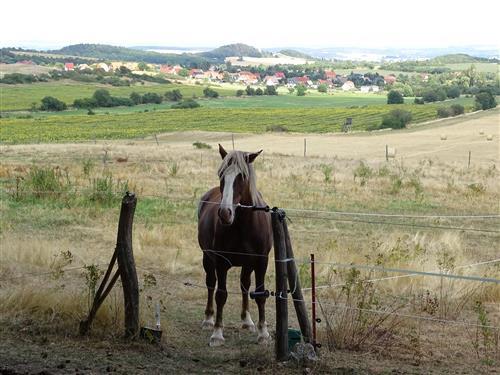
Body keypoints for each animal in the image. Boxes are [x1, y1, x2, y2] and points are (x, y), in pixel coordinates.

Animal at [196, 144, 274, 346]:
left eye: (242, 176)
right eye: (221, 174)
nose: (225, 213)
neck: (244, 225)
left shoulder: (261, 261)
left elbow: (260, 294)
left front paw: (263, 333)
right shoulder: (221, 262)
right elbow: (221, 295)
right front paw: (217, 333)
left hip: (247, 265)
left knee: (244, 285)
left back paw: (247, 320)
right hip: (207, 258)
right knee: (210, 284)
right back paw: (208, 319)